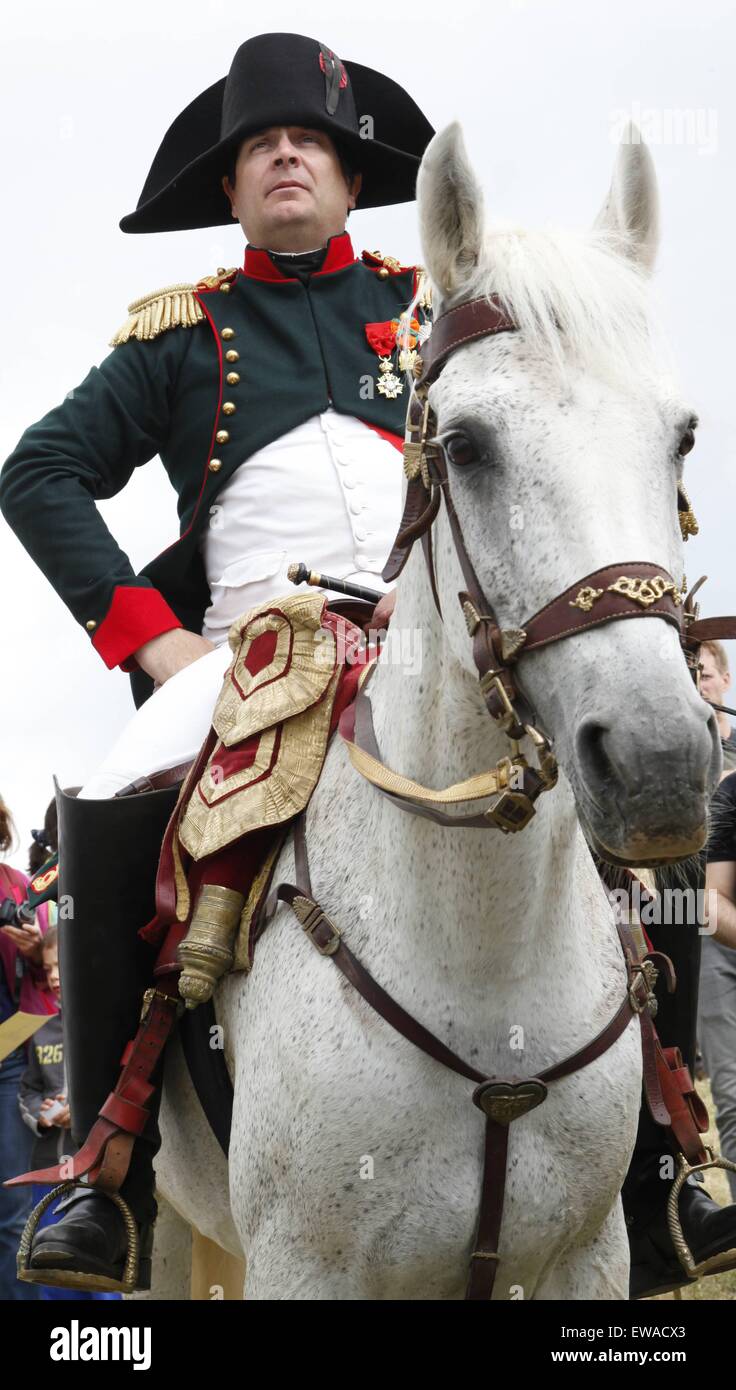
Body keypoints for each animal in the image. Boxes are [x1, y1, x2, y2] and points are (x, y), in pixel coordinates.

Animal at [148, 122, 717, 1301]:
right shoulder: (305, 1270)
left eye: (680, 436)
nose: (656, 764)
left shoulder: (583, 1258)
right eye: (465, 446)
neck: (484, 957)